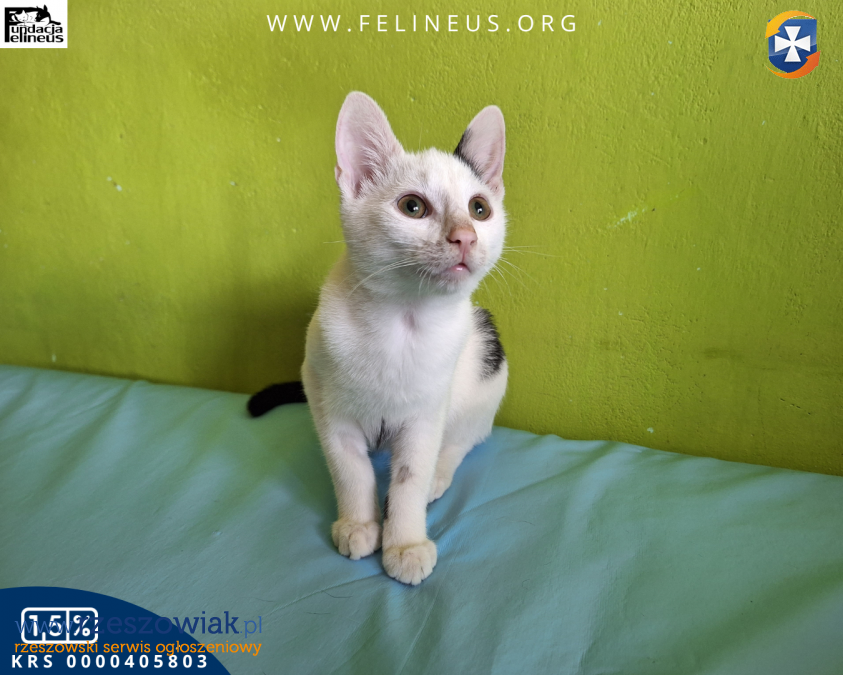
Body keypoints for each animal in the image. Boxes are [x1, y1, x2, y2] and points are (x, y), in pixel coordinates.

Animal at [249, 92, 508, 585]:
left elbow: (410, 476)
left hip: (486, 371)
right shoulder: (325, 399)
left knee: (463, 439)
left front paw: (404, 542)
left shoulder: (426, 414)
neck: (402, 323)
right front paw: (359, 524)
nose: (465, 236)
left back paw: (439, 476)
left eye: (479, 209)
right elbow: (350, 470)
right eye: (413, 207)